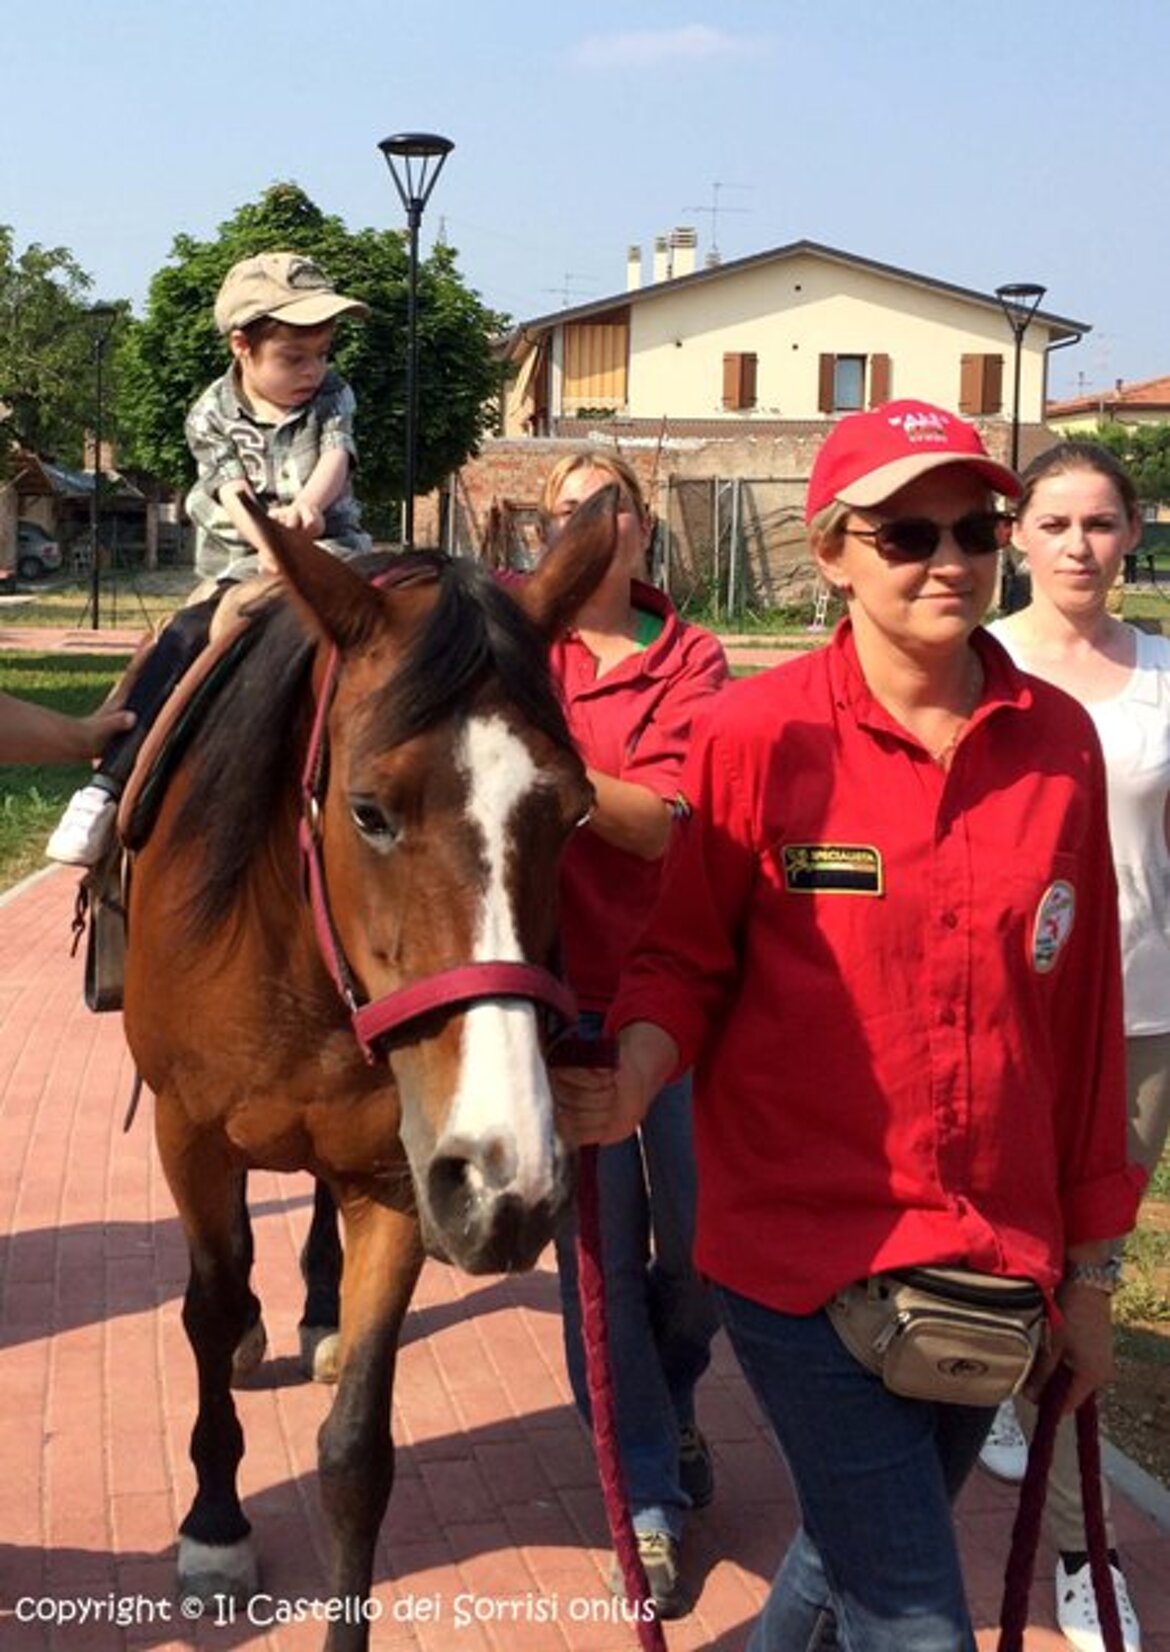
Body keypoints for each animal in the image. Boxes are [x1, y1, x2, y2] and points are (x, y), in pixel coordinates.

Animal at [121, 493, 618, 1651]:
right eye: (369, 811)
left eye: (573, 811)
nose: (511, 1184)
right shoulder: (187, 1132)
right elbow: (207, 1309)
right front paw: (215, 1526)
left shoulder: (402, 1177)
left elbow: (357, 1455)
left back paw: (316, 1315)